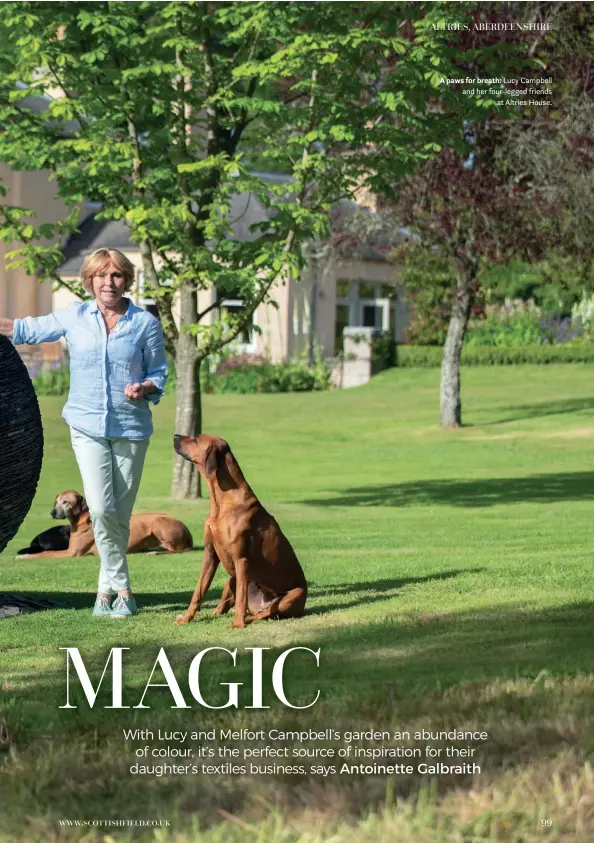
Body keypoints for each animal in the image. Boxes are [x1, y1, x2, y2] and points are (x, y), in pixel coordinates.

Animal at [16, 488, 192, 560]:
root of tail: (189, 535)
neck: (82, 519)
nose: (52, 512)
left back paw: (156, 552)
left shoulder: (72, 553)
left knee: (175, 550)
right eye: (56, 501)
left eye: (66, 502)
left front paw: (24, 556)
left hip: (158, 521)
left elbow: (45, 553)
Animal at [171, 436, 306, 628]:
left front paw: (237, 624)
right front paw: (186, 618)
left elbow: (241, 597)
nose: (175, 436)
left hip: (293, 595)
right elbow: (198, 592)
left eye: (195, 439)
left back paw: (247, 618)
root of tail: (261, 605)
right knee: (225, 607)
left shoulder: (241, 559)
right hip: (231, 579)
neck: (222, 502)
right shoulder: (210, 555)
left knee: (265, 614)